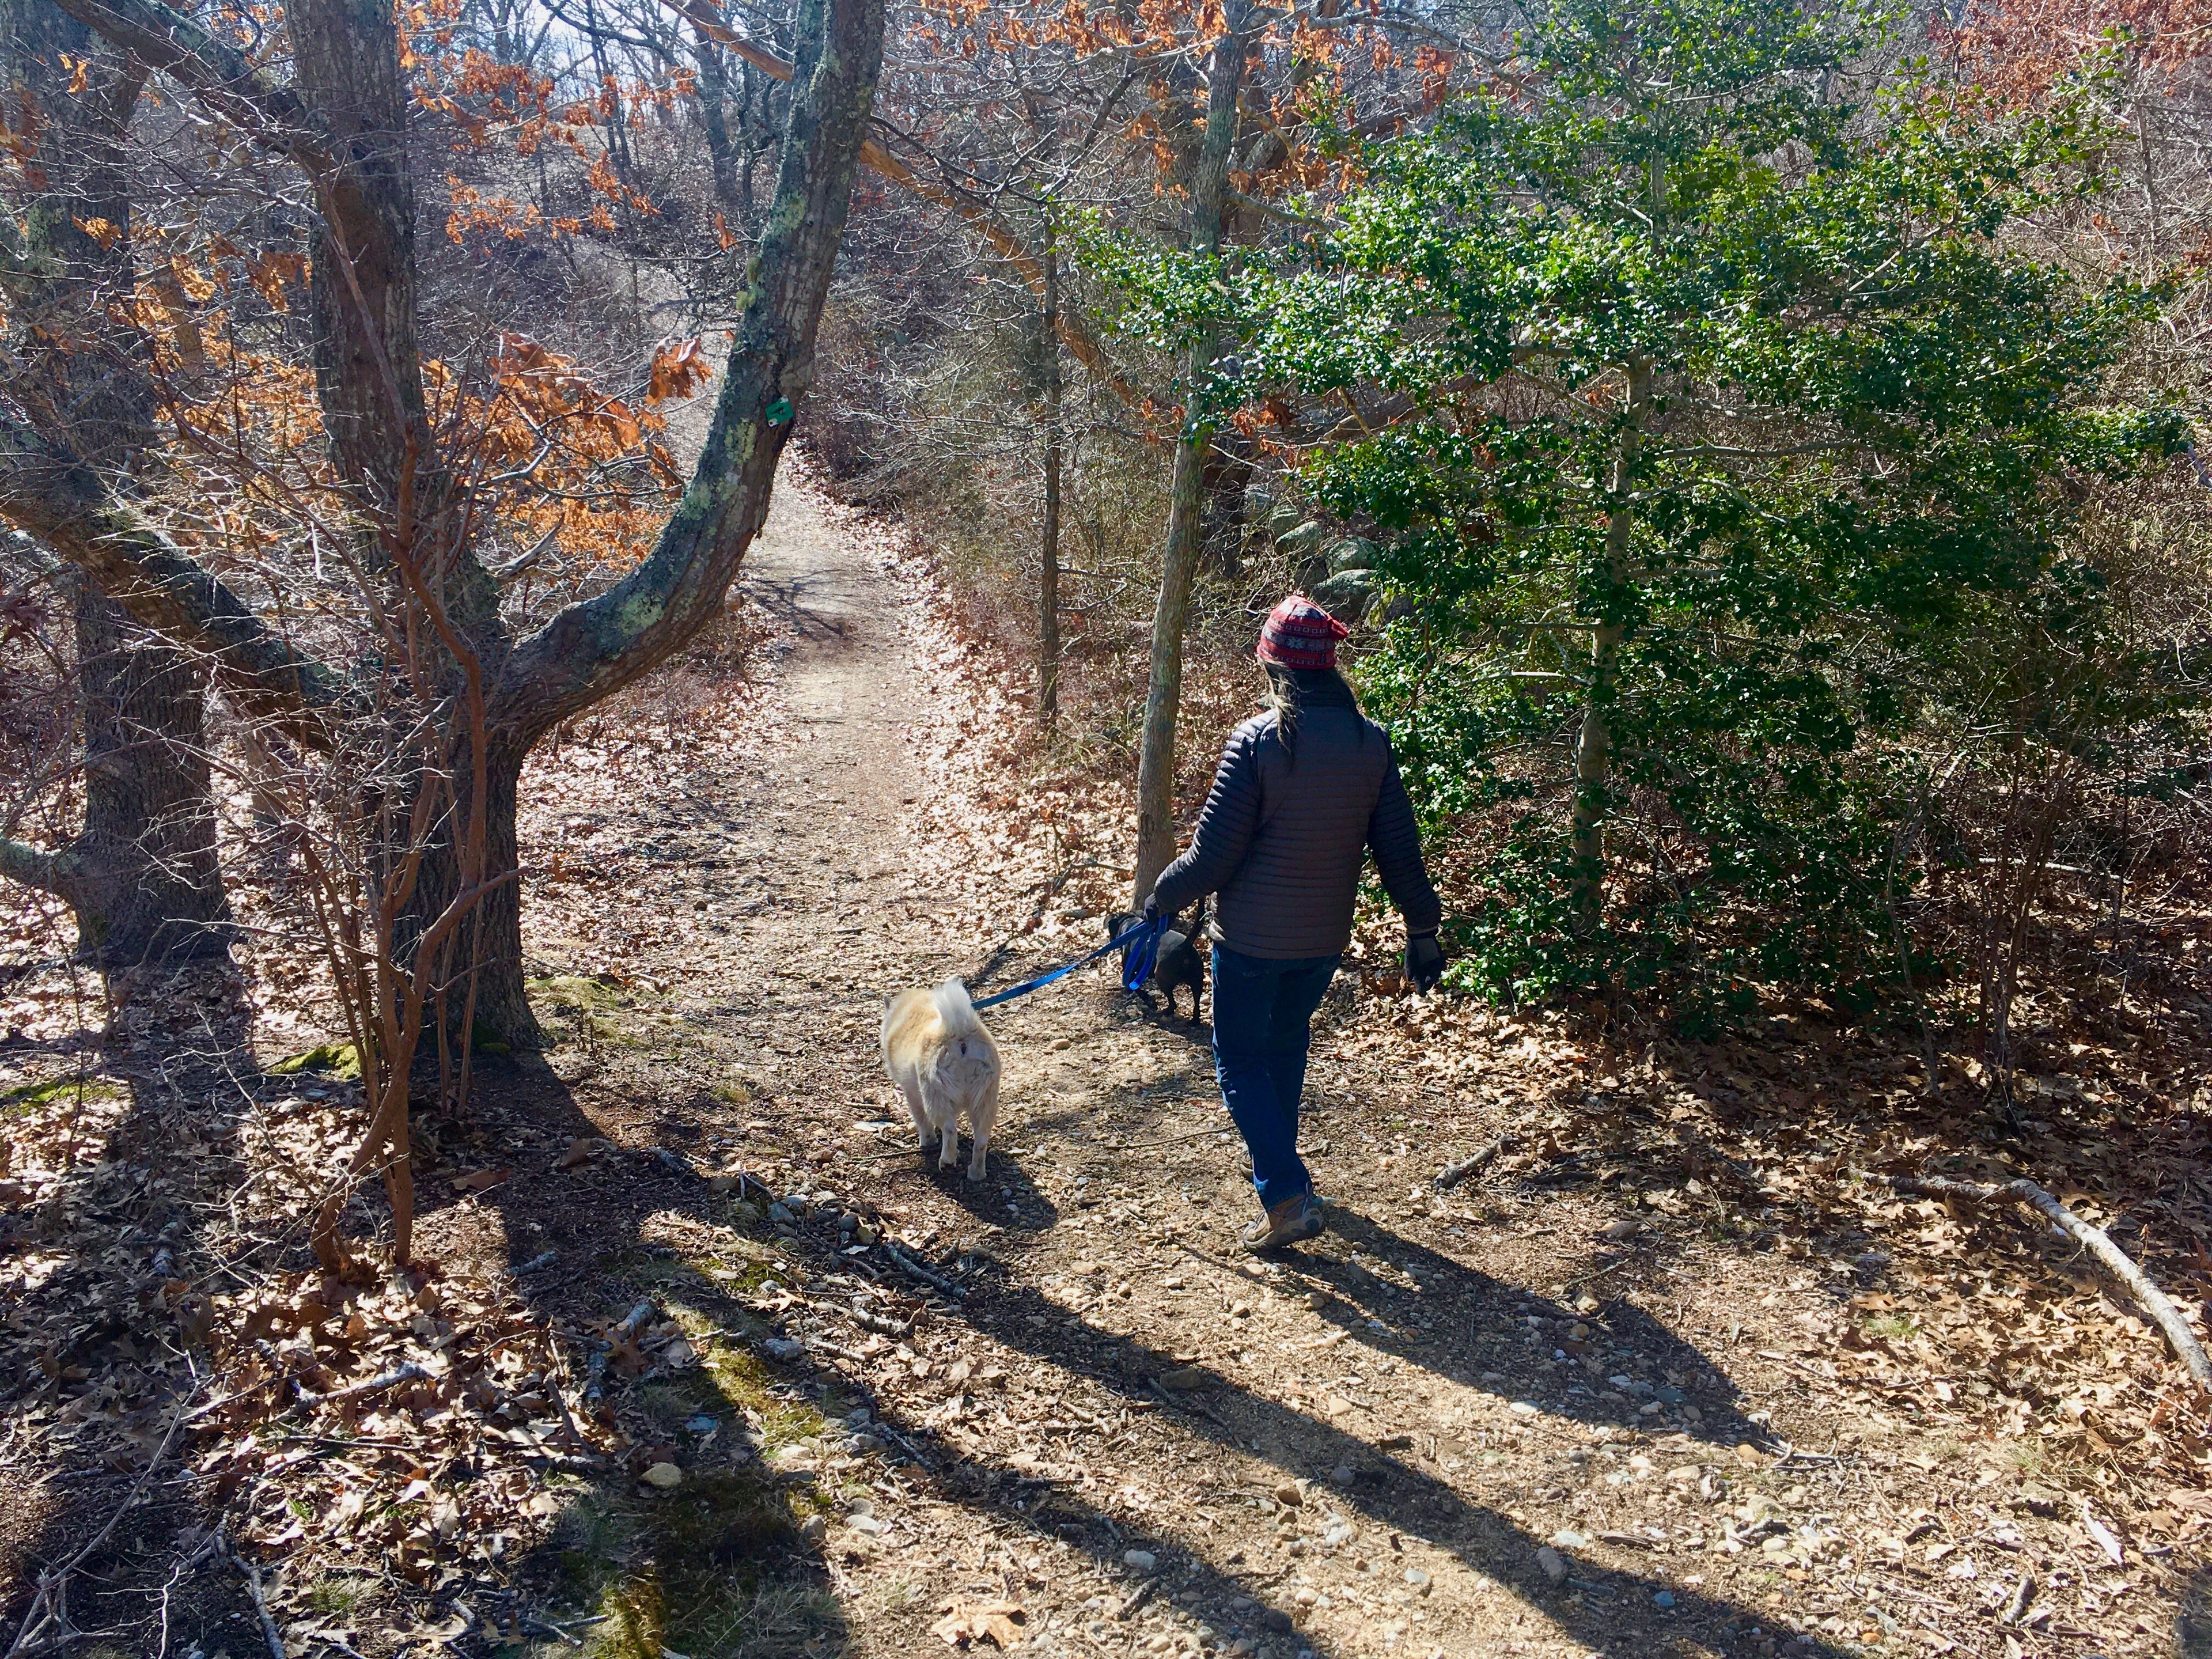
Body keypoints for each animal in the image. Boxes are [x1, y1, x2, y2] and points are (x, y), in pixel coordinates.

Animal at [880, 986, 1004, 1185]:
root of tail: (960, 1032)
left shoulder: (912, 1094)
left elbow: (922, 1120)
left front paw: (927, 1142)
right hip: (985, 1099)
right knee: (981, 1140)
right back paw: (976, 1173)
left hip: (935, 1096)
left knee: (949, 1130)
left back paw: (946, 1161)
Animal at [1106, 898, 1212, 1026]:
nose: (1110, 939)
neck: (1130, 924)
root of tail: (1184, 947)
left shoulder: (1130, 971)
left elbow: (1136, 987)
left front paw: (1148, 999)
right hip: (1197, 982)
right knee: (1197, 1003)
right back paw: (1194, 1021)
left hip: (1162, 978)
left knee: (1173, 1003)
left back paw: (1166, 1011)